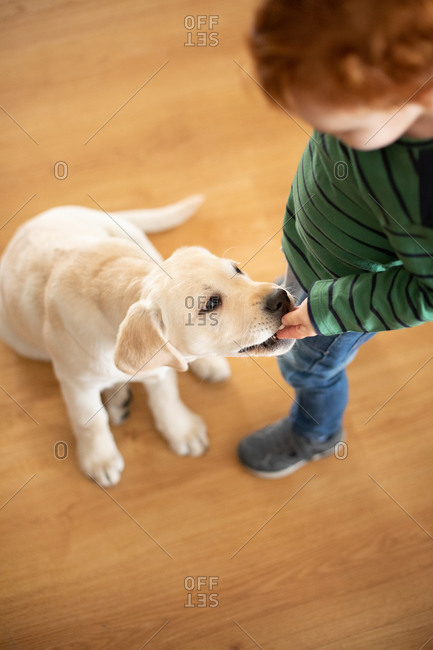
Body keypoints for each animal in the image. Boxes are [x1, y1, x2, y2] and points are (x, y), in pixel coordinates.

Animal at [0, 195, 294, 484]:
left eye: (238, 270)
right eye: (211, 304)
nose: (281, 298)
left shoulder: (159, 368)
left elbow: (166, 397)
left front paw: (181, 429)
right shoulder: (76, 384)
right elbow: (89, 422)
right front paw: (100, 459)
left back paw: (206, 365)